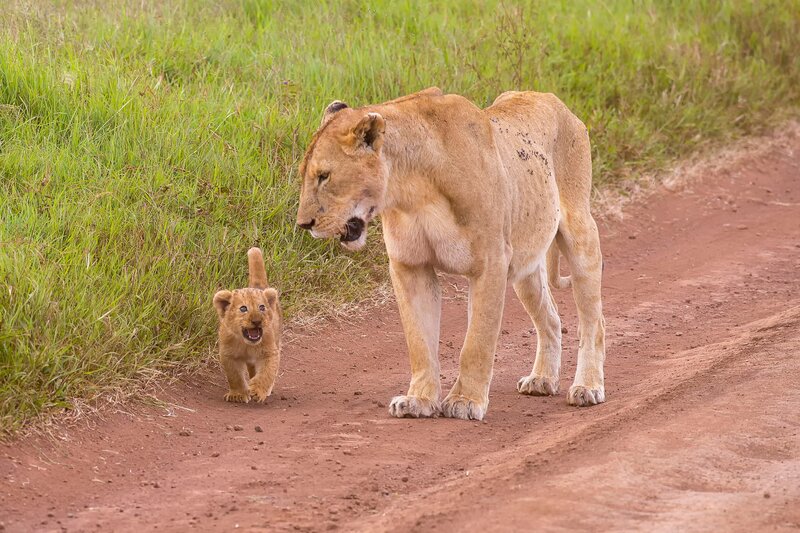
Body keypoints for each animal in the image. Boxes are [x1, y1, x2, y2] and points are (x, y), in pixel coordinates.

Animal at [213, 247, 282, 403]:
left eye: (262, 307)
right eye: (243, 308)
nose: (256, 321)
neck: (247, 344)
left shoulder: (269, 352)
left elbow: (267, 372)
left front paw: (257, 390)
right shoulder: (228, 355)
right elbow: (235, 376)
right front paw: (238, 395)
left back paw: (266, 389)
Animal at [296, 88, 606, 420]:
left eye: (324, 176)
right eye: (305, 175)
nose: (303, 224)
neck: (412, 191)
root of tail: (548, 96)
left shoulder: (491, 262)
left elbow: (476, 342)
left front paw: (466, 401)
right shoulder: (410, 266)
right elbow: (419, 341)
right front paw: (418, 400)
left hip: (580, 232)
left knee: (593, 321)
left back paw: (587, 388)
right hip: (526, 266)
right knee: (550, 319)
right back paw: (542, 379)